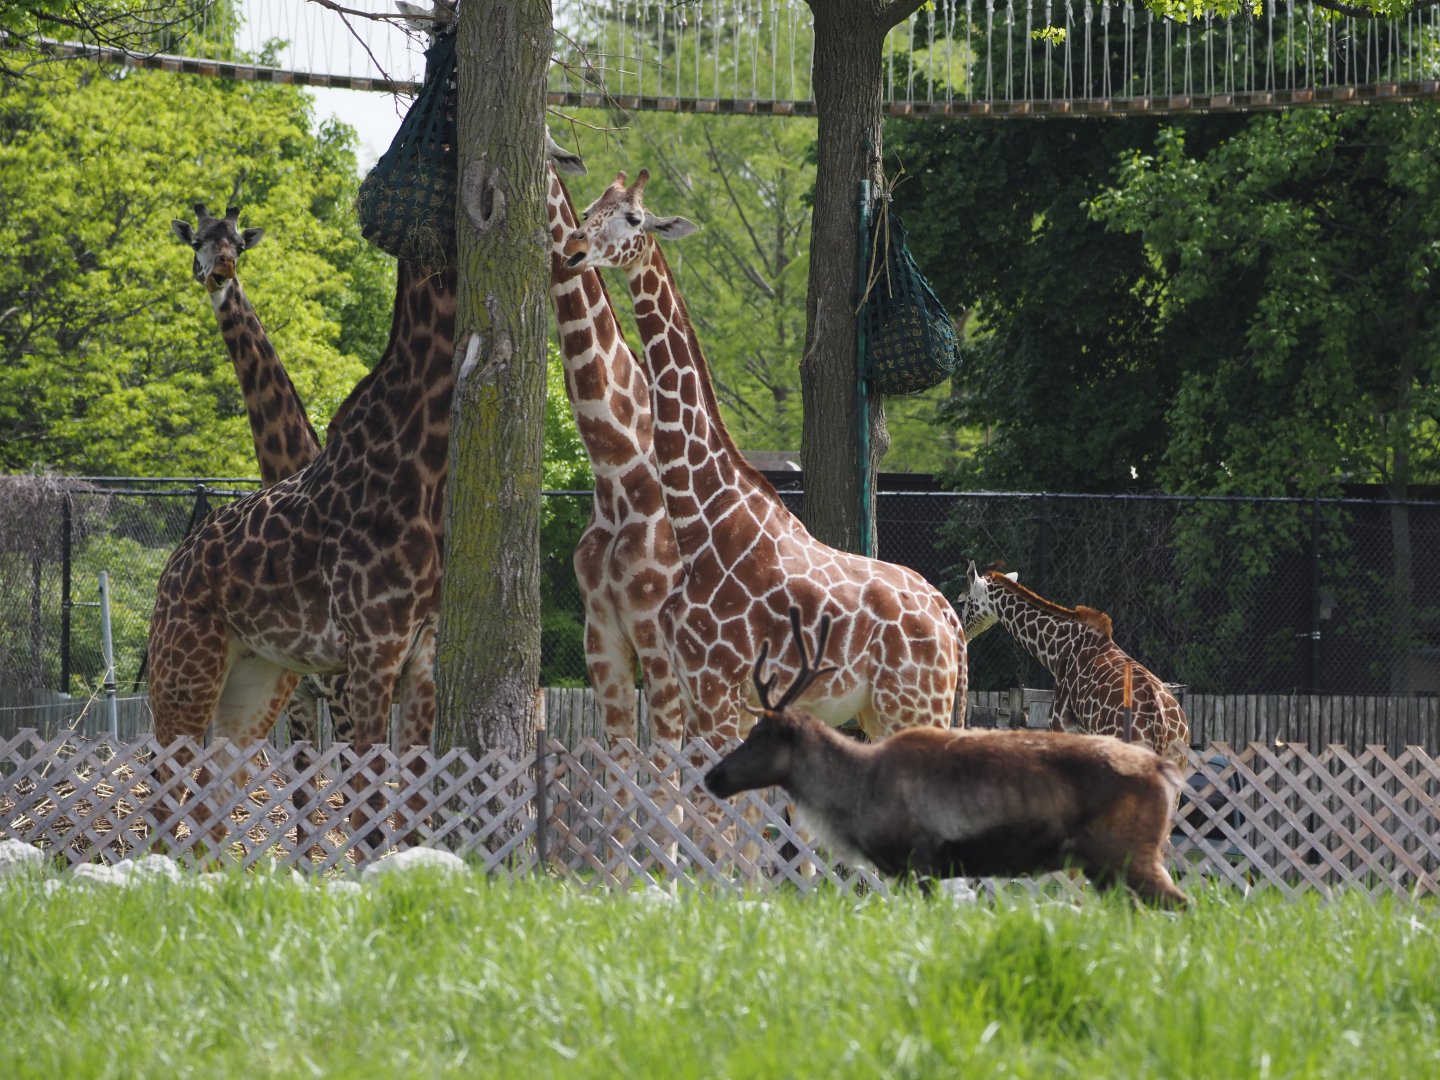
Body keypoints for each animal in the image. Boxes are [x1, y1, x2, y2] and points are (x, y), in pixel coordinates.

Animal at [562, 170, 966, 753]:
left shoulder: (716, 690)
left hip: (914, 704)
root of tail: (950, 620)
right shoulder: (700, 692)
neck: (700, 524)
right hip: (882, 712)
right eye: (592, 205)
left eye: (634, 218)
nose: (572, 248)